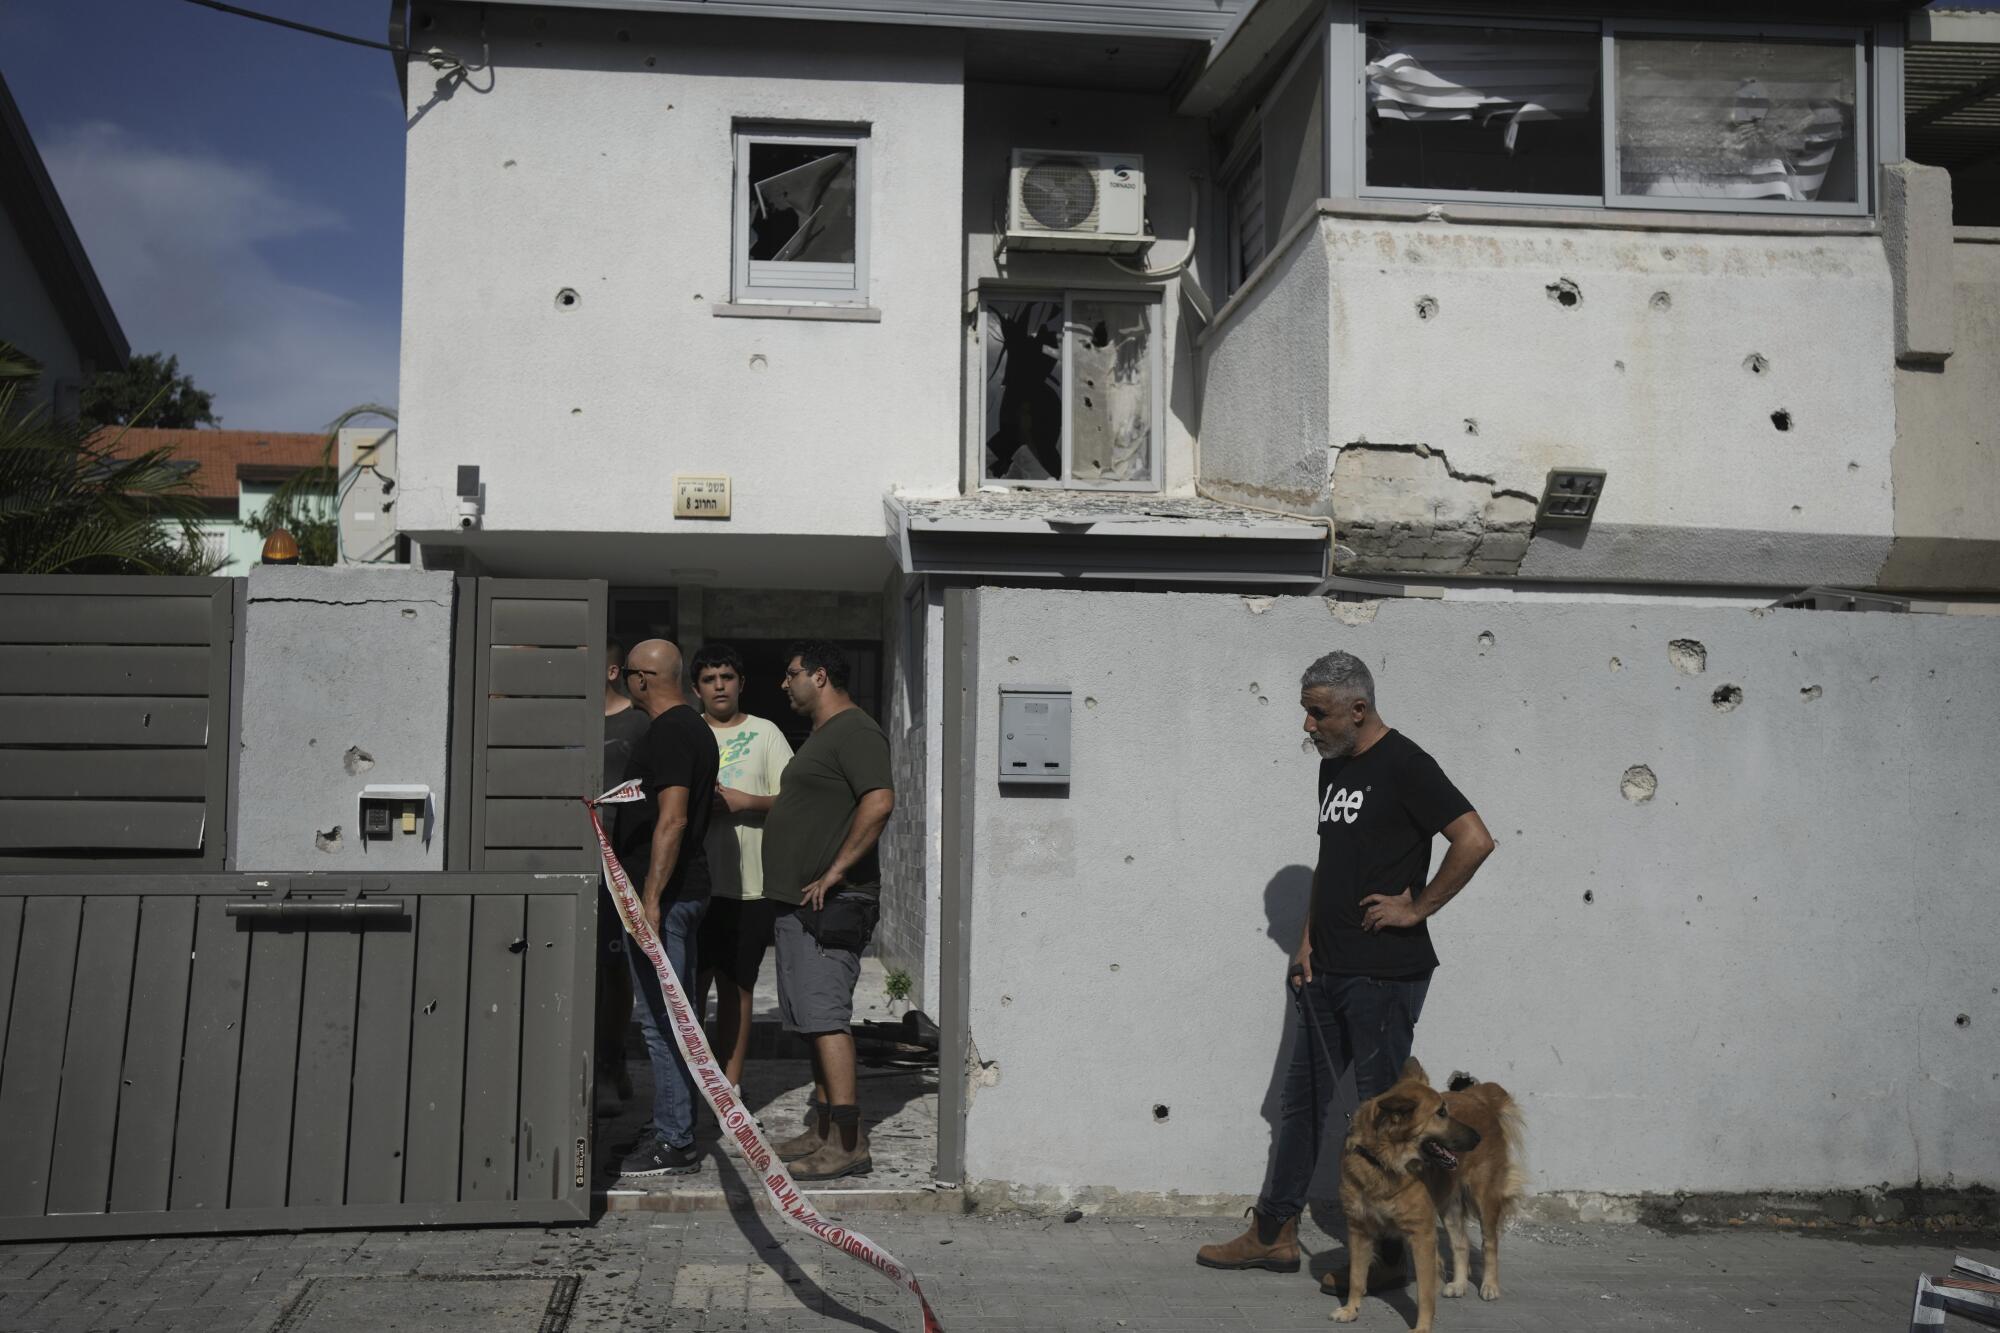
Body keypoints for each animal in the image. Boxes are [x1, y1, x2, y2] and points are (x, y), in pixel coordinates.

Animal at [1336, 1056, 1520, 1320]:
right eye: (1440, 1113)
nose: (1478, 1138)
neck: (1382, 1164)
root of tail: (1478, 1097)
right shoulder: (1358, 1228)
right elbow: (1356, 1278)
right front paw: (1351, 1309)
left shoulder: (1421, 1231)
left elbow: (1424, 1289)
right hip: (1449, 1207)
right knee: (1461, 1243)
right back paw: (1460, 1284)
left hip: (1484, 1198)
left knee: (1490, 1242)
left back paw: (1490, 1285)